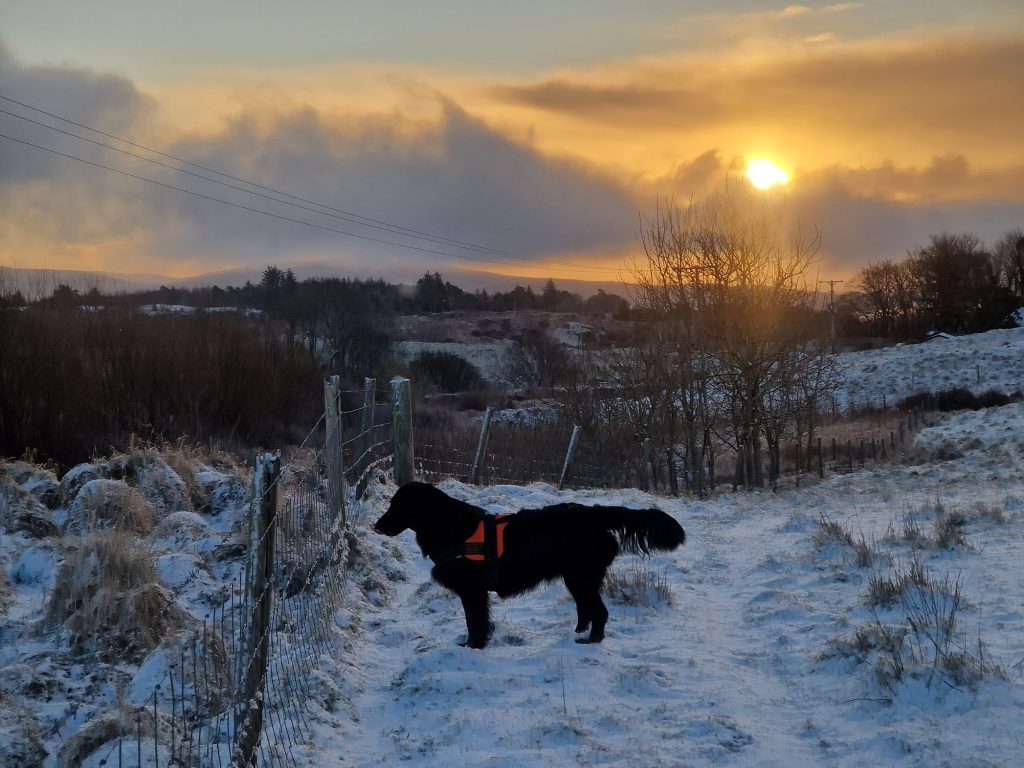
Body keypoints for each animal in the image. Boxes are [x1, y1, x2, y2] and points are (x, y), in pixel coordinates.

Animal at [372, 483, 684, 651]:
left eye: (398, 505)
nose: (376, 526)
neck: (449, 526)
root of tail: (594, 513)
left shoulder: (472, 591)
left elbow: (475, 622)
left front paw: (473, 646)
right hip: (576, 578)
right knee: (586, 609)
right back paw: (578, 633)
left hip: (581, 577)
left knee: (600, 611)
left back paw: (590, 641)